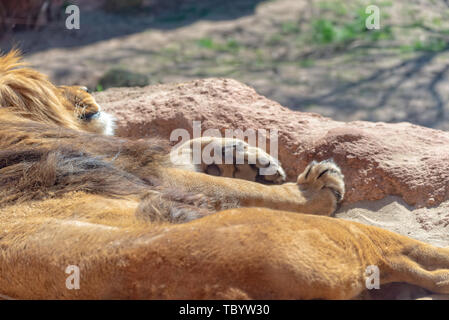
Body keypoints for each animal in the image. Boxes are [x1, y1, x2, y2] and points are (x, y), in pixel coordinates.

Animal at [0, 50, 448, 300]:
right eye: (54, 85)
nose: (86, 88)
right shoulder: (148, 173)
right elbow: (226, 185)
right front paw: (313, 190)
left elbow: (192, 145)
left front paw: (245, 158)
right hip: (336, 234)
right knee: (408, 253)